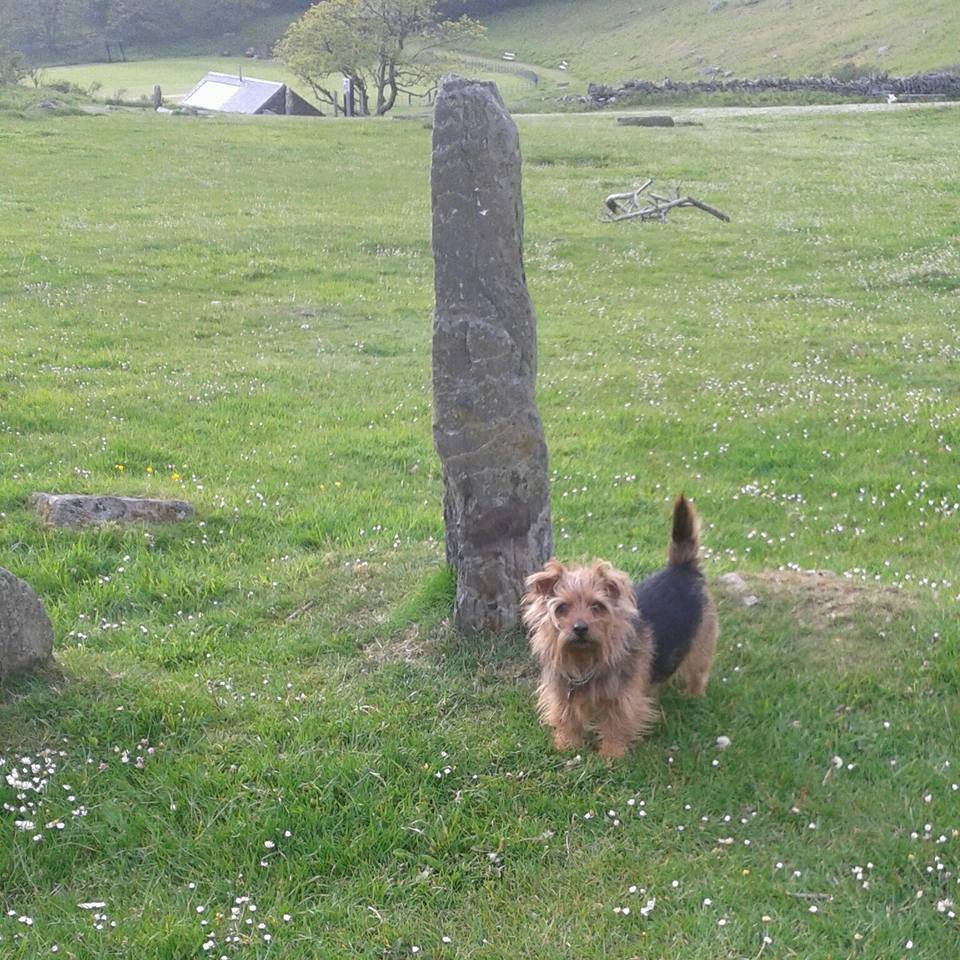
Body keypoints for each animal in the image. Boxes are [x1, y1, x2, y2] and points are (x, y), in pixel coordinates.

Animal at [522, 494, 716, 758]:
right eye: (562, 608)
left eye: (597, 606)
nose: (580, 628)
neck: (586, 662)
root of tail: (682, 567)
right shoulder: (562, 693)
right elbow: (567, 717)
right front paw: (566, 745)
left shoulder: (623, 698)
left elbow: (616, 723)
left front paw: (611, 754)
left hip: (700, 645)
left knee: (698, 672)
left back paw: (693, 696)